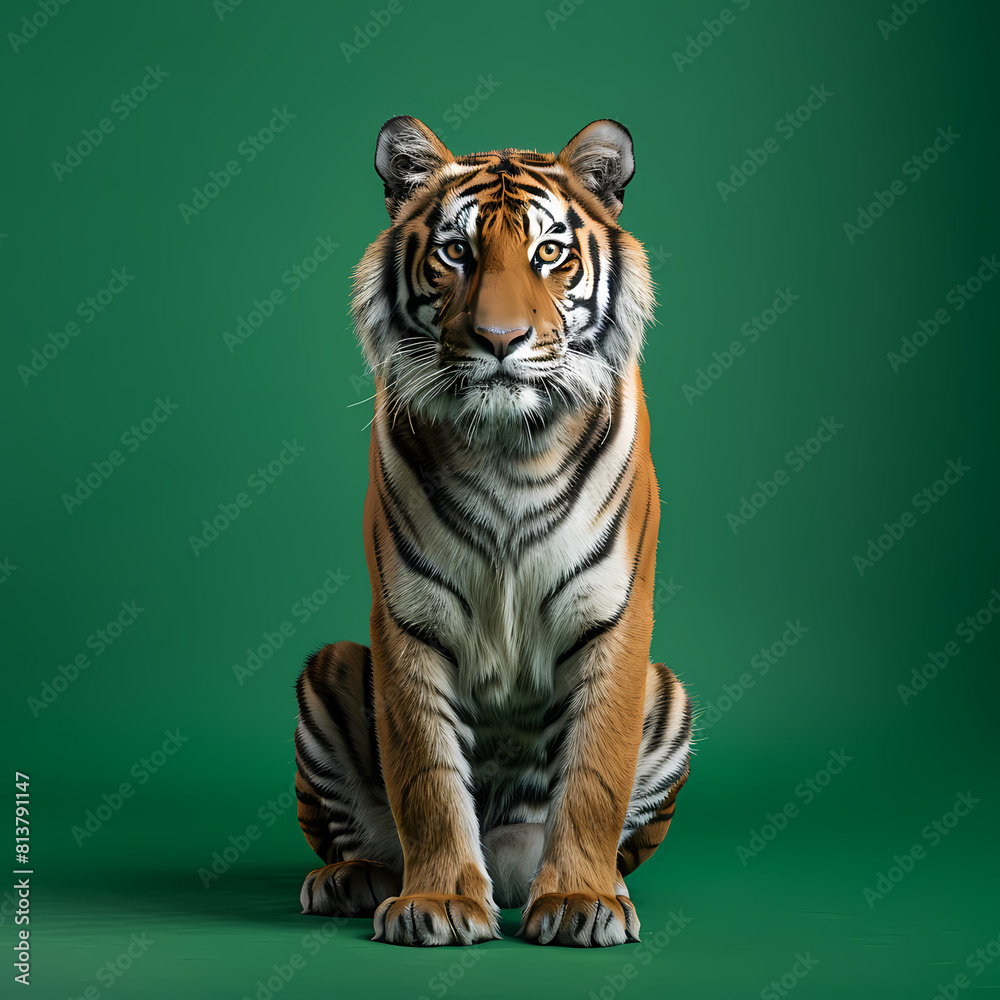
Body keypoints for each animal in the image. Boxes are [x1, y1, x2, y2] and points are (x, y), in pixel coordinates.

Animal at [293, 116, 692, 948]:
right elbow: (426, 778)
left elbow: (595, 774)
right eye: (456, 252)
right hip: (330, 669)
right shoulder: (409, 621)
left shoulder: (613, 618)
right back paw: (354, 878)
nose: (500, 339)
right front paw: (438, 901)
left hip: (668, 692)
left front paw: (580, 900)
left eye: (549, 253)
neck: (511, 448)